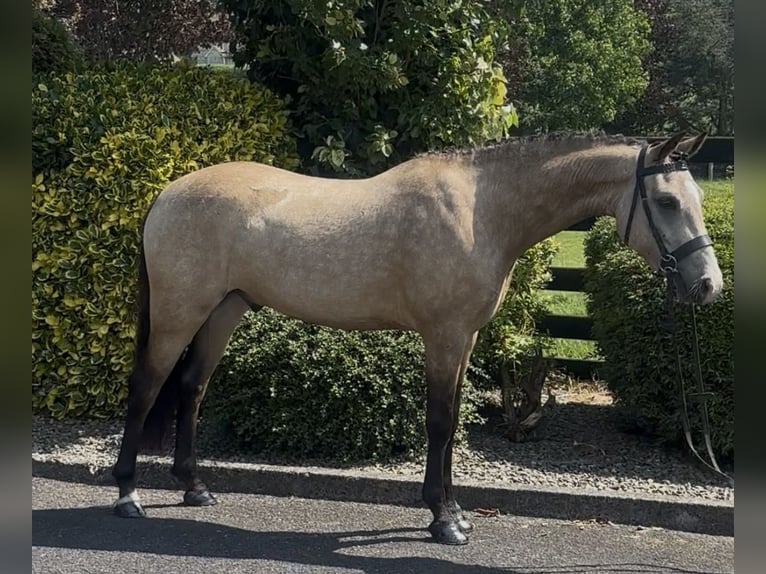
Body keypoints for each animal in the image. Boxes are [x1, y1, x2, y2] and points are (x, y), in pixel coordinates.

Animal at [111, 131, 723, 545]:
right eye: (666, 202)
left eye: (693, 196)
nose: (708, 286)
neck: (482, 209)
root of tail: (166, 193)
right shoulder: (444, 337)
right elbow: (441, 423)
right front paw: (443, 519)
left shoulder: (465, 339)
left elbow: (450, 428)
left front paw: (454, 511)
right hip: (179, 313)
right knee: (146, 388)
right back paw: (127, 494)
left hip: (224, 310)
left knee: (191, 388)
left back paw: (194, 486)